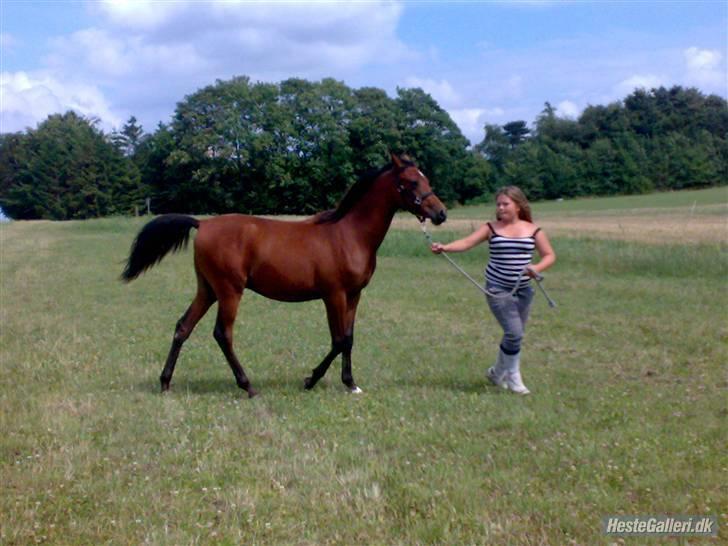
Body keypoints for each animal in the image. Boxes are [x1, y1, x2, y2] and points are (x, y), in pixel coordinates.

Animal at [122, 153, 446, 396]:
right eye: (411, 181)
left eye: (426, 178)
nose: (440, 213)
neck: (348, 234)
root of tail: (203, 223)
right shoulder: (334, 295)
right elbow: (338, 340)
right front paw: (310, 380)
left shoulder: (354, 295)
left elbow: (349, 338)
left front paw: (351, 384)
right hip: (229, 291)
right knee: (222, 334)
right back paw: (248, 386)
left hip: (208, 289)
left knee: (183, 327)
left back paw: (165, 382)